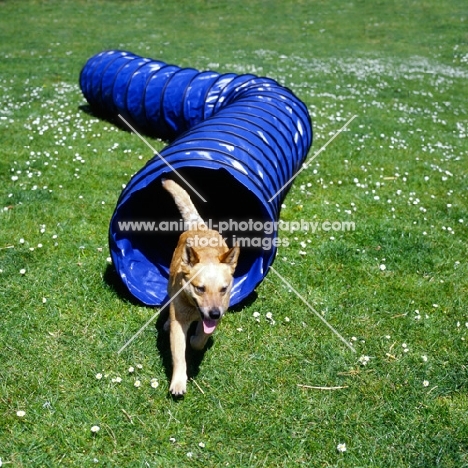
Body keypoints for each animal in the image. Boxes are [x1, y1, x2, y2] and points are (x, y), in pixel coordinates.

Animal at [162, 178, 241, 394]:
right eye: (200, 288)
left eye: (223, 289)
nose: (214, 313)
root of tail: (199, 225)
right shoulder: (180, 322)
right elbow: (179, 354)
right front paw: (178, 383)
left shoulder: (219, 313)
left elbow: (201, 339)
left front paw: (196, 339)